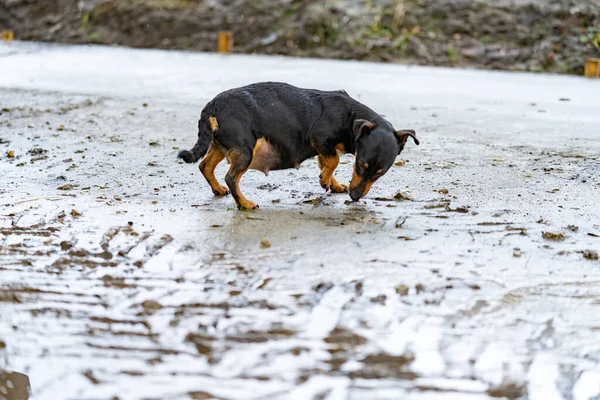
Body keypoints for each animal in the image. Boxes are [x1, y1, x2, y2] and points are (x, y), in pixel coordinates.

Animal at [179, 81, 418, 209]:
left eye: (380, 173)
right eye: (360, 165)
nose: (355, 196)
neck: (350, 118)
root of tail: (213, 106)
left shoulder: (324, 147)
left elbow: (327, 162)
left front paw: (333, 184)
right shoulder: (320, 139)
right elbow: (334, 161)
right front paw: (325, 181)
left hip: (221, 145)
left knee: (205, 166)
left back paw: (218, 189)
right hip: (245, 150)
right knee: (231, 177)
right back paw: (245, 203)